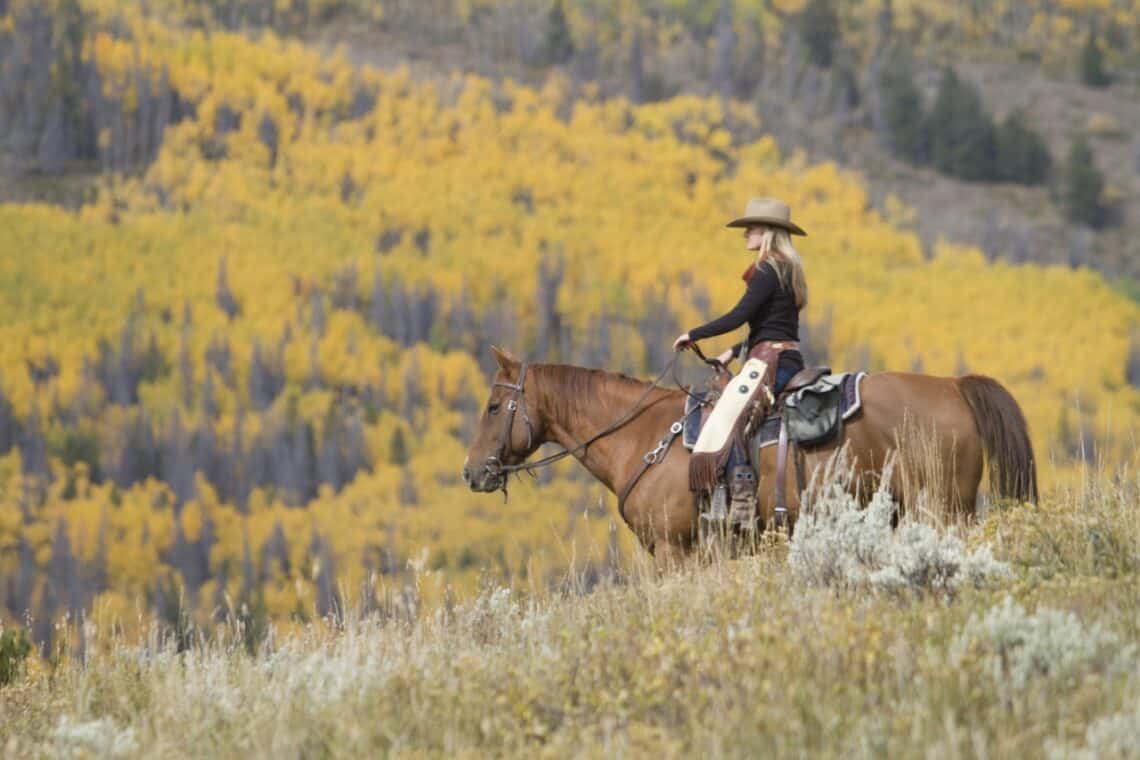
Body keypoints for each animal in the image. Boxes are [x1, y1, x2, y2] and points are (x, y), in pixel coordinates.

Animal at [460, 346, 1035, 569]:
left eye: (493, 406)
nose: (472, 472)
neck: (643, 436)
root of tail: (955, 387)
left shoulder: (675, 552)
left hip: (944, 509)